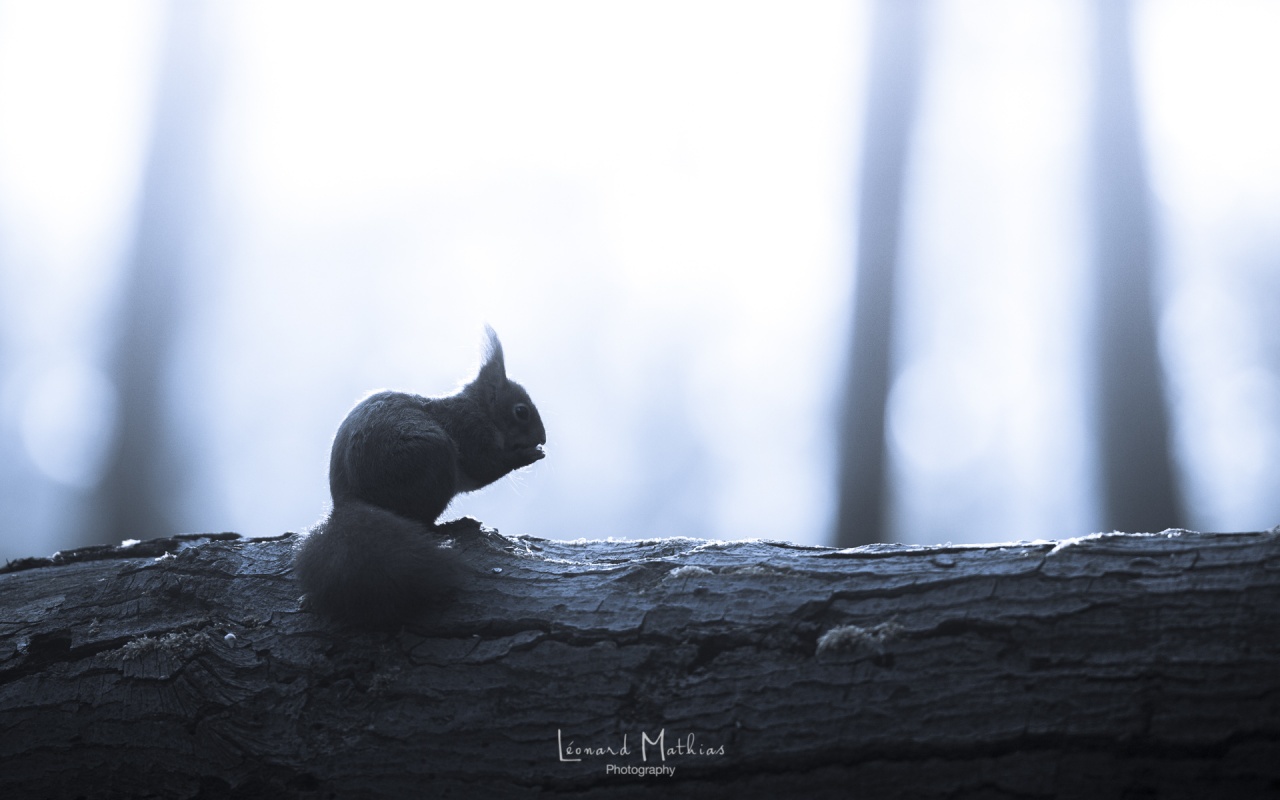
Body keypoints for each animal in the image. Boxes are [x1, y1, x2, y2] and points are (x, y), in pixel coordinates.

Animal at [294, 326, 546, 629]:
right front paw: (527, 455)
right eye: (521, 412)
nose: (543, 438)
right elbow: (485, 466)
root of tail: (347, 501)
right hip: (432, 463)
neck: (480, 410)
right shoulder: (471, 431)